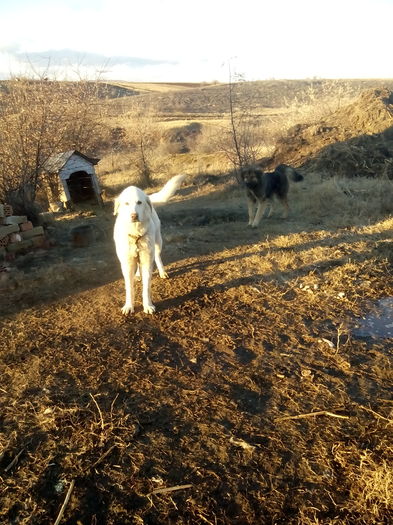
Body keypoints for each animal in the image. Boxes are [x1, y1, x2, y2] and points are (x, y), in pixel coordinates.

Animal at [113, 174, 185, 314]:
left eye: (139, 202)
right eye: (126, 203)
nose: (134, 216)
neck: (135, 233)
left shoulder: (147, 260)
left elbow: (146, 288)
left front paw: (148, 305)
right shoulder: (127, 263)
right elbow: (129, 288)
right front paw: (129, 306)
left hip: (157, 243)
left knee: (157, 257)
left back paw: (162, 272)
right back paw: (137, 275)